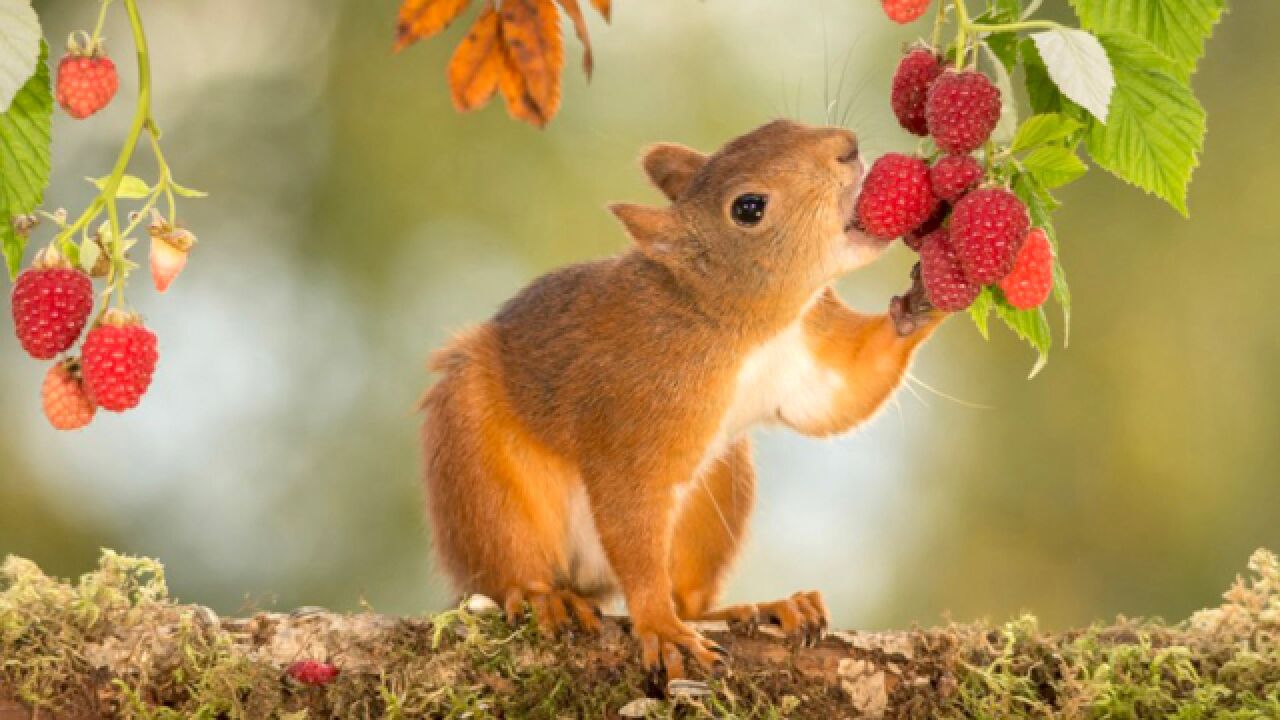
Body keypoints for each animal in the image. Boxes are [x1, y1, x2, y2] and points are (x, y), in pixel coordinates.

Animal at [419, 119, 942, 676]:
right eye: (748, 208)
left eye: (780, 125)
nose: (846, 147)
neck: (741, 327)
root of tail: (589, 581)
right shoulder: (633, 413)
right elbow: (632, 514)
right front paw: (660, 628)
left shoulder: (805, 354)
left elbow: (842, 394)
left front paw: (926, 297)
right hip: (479, 473)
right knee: (507, 566)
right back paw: (546, 596)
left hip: (718, 491)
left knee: (691, 599)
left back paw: (768, 606)